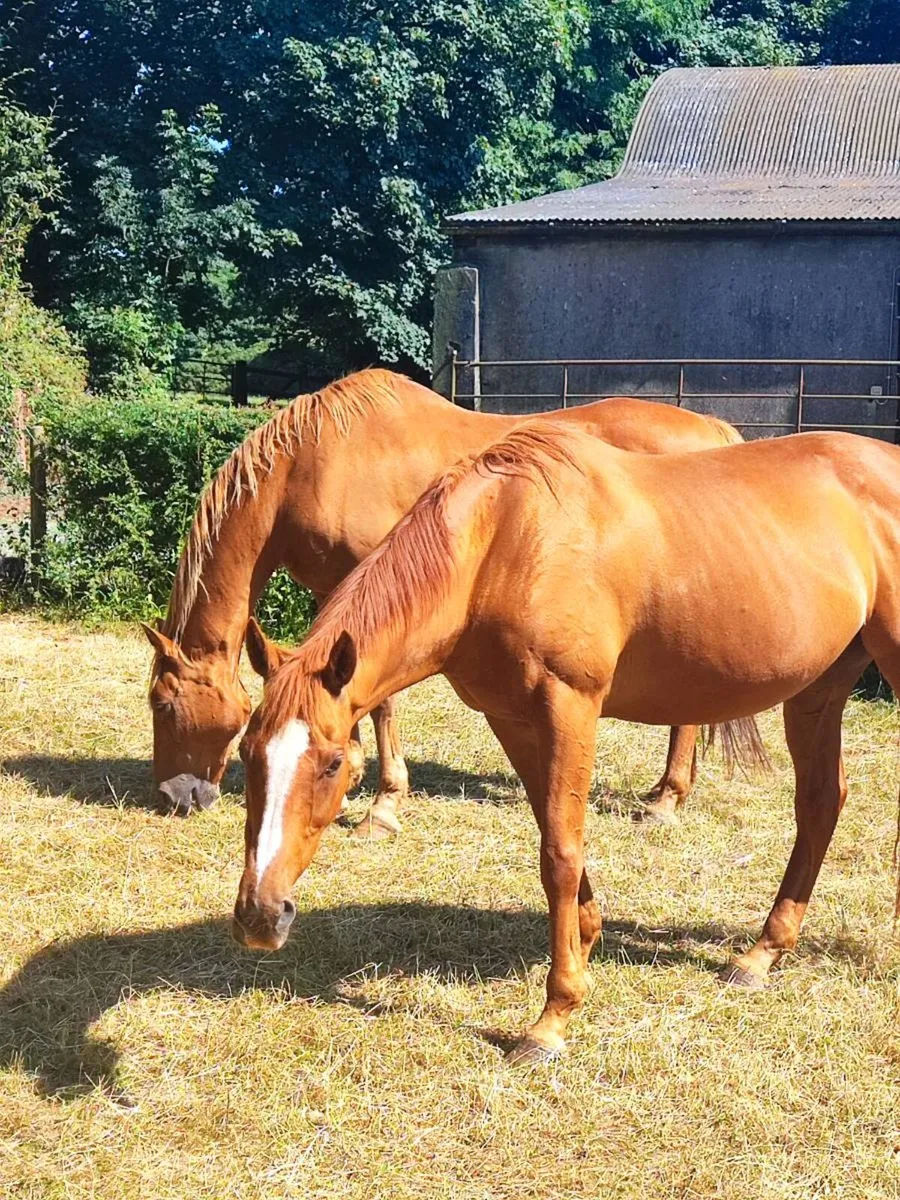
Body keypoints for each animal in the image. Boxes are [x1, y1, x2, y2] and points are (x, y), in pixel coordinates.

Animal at [143, 368, 749, 832]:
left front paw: (383, 803)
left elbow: (381, 699)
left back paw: (665, 801)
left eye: (163, 704)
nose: (173, 797)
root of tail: (716, 432)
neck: (314, 464)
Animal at [232, 421, 900, 1064]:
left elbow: (559, 851)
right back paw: (761, 953)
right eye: (247, 752)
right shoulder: (513, 718)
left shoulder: (571, 705)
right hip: (817, 693)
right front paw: (585, 937)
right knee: (820, 803)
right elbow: (553, 832)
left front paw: (553, 1017)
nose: (260, 916)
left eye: (333, 764)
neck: (501, 544)